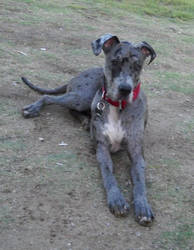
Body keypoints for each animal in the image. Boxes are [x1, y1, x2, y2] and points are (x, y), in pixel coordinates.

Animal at [21, 33, 156, 227]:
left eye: (138, 65)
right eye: (115, 61)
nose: (125, 89)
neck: (118, 107)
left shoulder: (137, 152)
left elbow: (139, 180)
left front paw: (143, 206)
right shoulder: (102, 148)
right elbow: (108, 174)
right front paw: (116, 199)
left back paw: (85, 120)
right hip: (81, 97)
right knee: (49, 98)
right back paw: (34, 109)